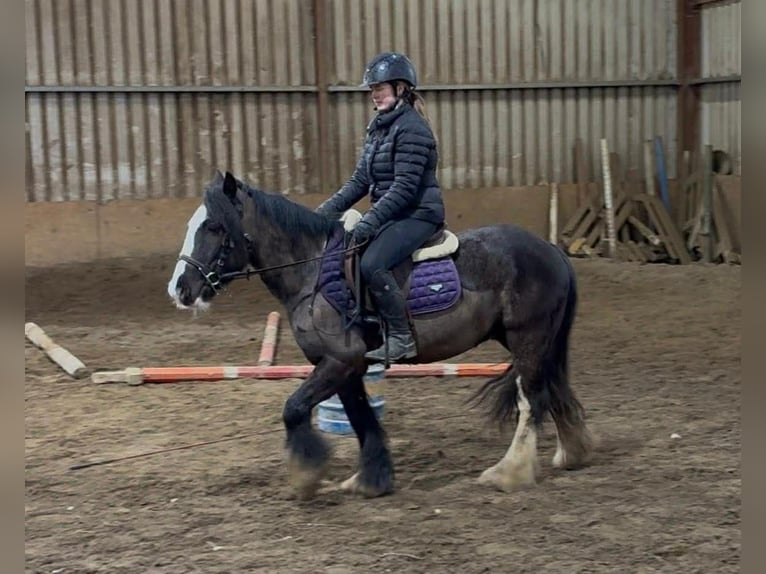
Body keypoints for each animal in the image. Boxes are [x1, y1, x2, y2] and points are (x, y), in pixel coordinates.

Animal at [167, 170, 594, 500]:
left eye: (214, 226)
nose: (180, 289)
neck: (313, 273)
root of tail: (551, 251)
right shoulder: (345, 368)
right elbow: (361, 418)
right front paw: (371, 479)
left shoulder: (339, 362)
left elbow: (294, 409)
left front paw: (306, 477)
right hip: (529, 340)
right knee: (552, 389)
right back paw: (572, 454)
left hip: (527, 338)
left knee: (532, 400)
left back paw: (509, 472)